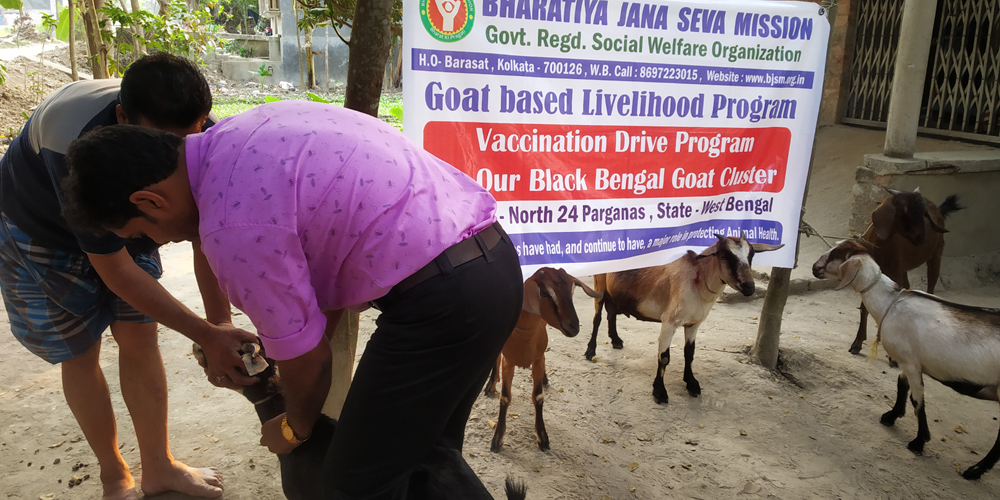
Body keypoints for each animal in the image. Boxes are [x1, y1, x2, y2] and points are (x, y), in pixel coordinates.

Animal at [484, 270, 600, 454]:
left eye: (572, 289)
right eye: (545, 292)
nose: (574, 326)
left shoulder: (538, 359)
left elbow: (538, 396)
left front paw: (543, 438)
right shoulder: (509, 362)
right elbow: (505, 397)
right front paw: (497, 441)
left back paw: (545, 379)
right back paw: (490, 385)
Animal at [588, 236, 784, 404]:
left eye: (751, 255)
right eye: (723, 255)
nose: (749, 286)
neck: (698, 280)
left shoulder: (694, 323)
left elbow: (690, 353)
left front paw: (692, 383)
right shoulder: (669, 322)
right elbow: (664, 357)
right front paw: (659, 391)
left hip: (613, 293)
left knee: (611, 313)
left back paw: (616, 340)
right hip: (599, 287)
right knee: (597, 318)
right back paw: (590, 351)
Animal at [812, 239, 1000, 480]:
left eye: (836, 254)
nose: (814, 268)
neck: (890, 303)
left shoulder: (912, 363)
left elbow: (917, 401)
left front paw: (919, 442)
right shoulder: (908, 359)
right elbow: (901, 385)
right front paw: (891, 415)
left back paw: (975, 471)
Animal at [848, 188, 964, 356]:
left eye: (923, 213)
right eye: (904, 210)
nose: (921, 238)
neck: (881, 247)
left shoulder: (894, 273)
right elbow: (865, 307)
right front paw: (857, 344)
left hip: (936, 253)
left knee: (931, 283)